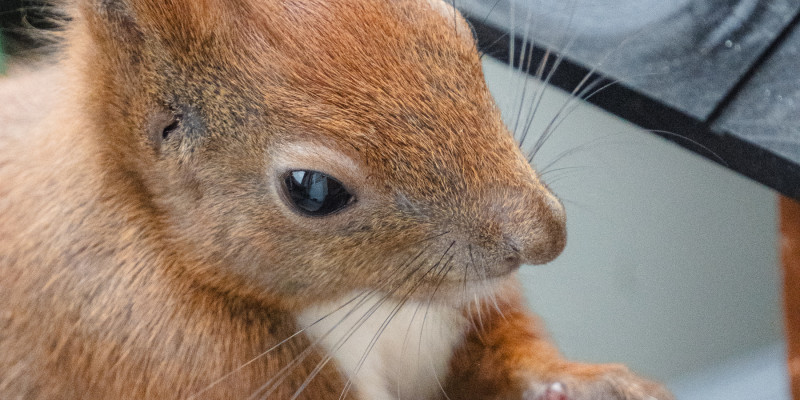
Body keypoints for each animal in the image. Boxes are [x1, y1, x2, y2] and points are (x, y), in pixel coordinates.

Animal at [0, 1, 672, 398]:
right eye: (312, 189)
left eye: (458, 25)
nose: (544, 237)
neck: (368, 305)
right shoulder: (170, 352)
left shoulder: (467, 312)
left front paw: (590, 383)